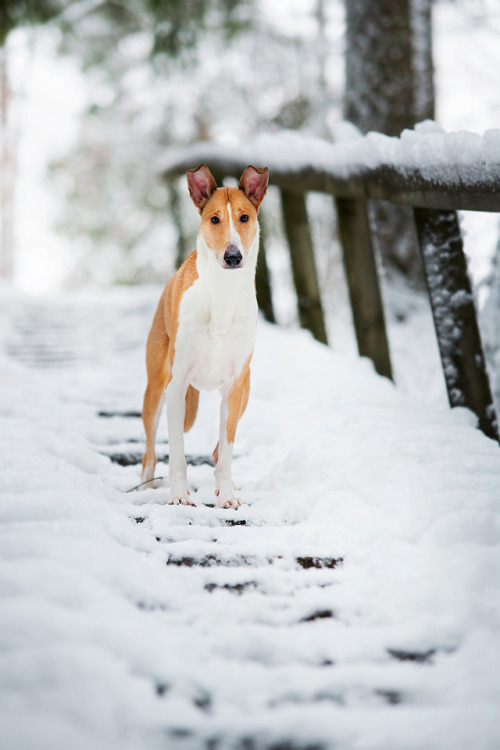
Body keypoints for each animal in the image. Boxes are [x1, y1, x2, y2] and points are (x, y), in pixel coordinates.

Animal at [141, 164, 270, 512]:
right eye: (214, 219)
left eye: (244, 217)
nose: (233, 256)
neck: (222, 293)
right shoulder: (176, 384)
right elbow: (177, 451)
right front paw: (179, 495)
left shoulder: (236, 385)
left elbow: (225, 449)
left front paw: (227, 496)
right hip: (154, 389)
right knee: (149, 448)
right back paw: (146, 485)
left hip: (247, 392)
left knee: (217, 450)